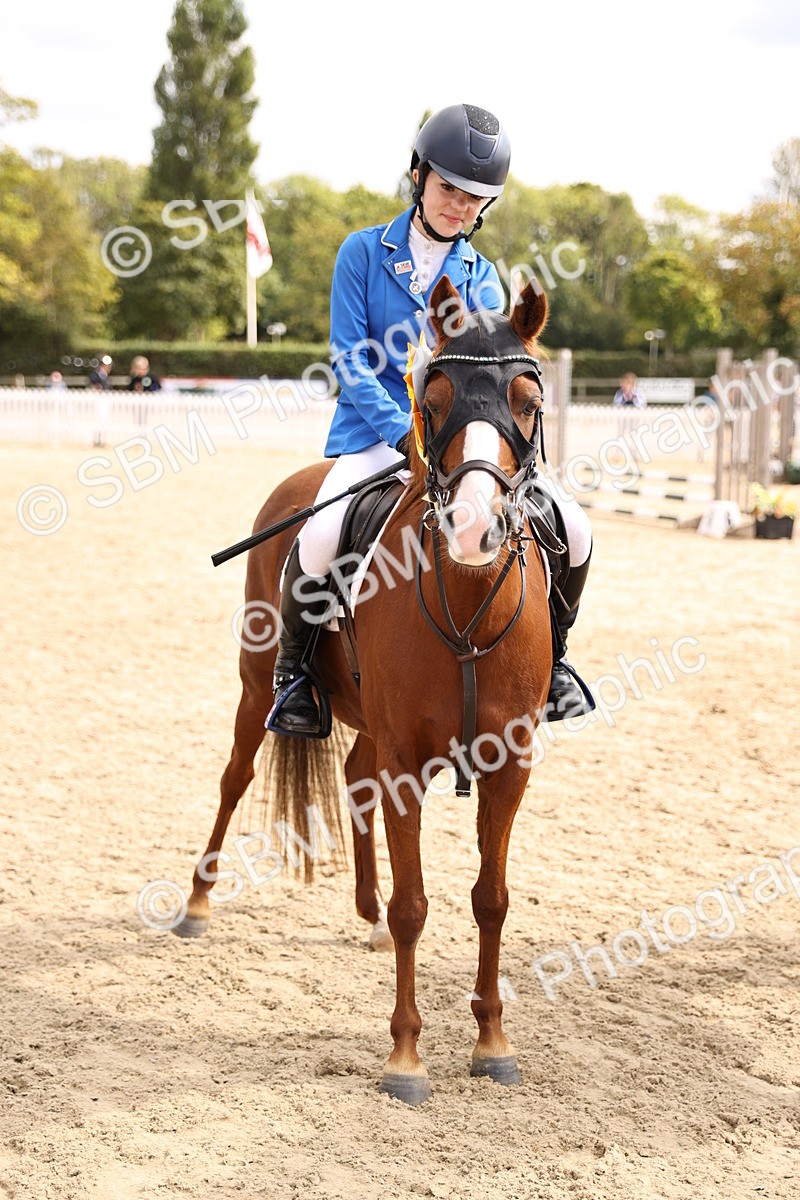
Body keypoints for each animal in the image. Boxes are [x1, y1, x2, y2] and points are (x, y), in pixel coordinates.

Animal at [174, 275, 554, 1105]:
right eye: (433, 399)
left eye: (529, 401)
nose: (474, 529)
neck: (465, 597)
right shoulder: (407, 760)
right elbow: (418, 907)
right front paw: (406, 1057)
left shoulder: (510, 764)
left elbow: (492, 898)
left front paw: (492, 1042)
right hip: (257, 685)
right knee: (236, 777)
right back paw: (196, 903)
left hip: (370, 727)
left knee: (352, 778)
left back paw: (365, 911)